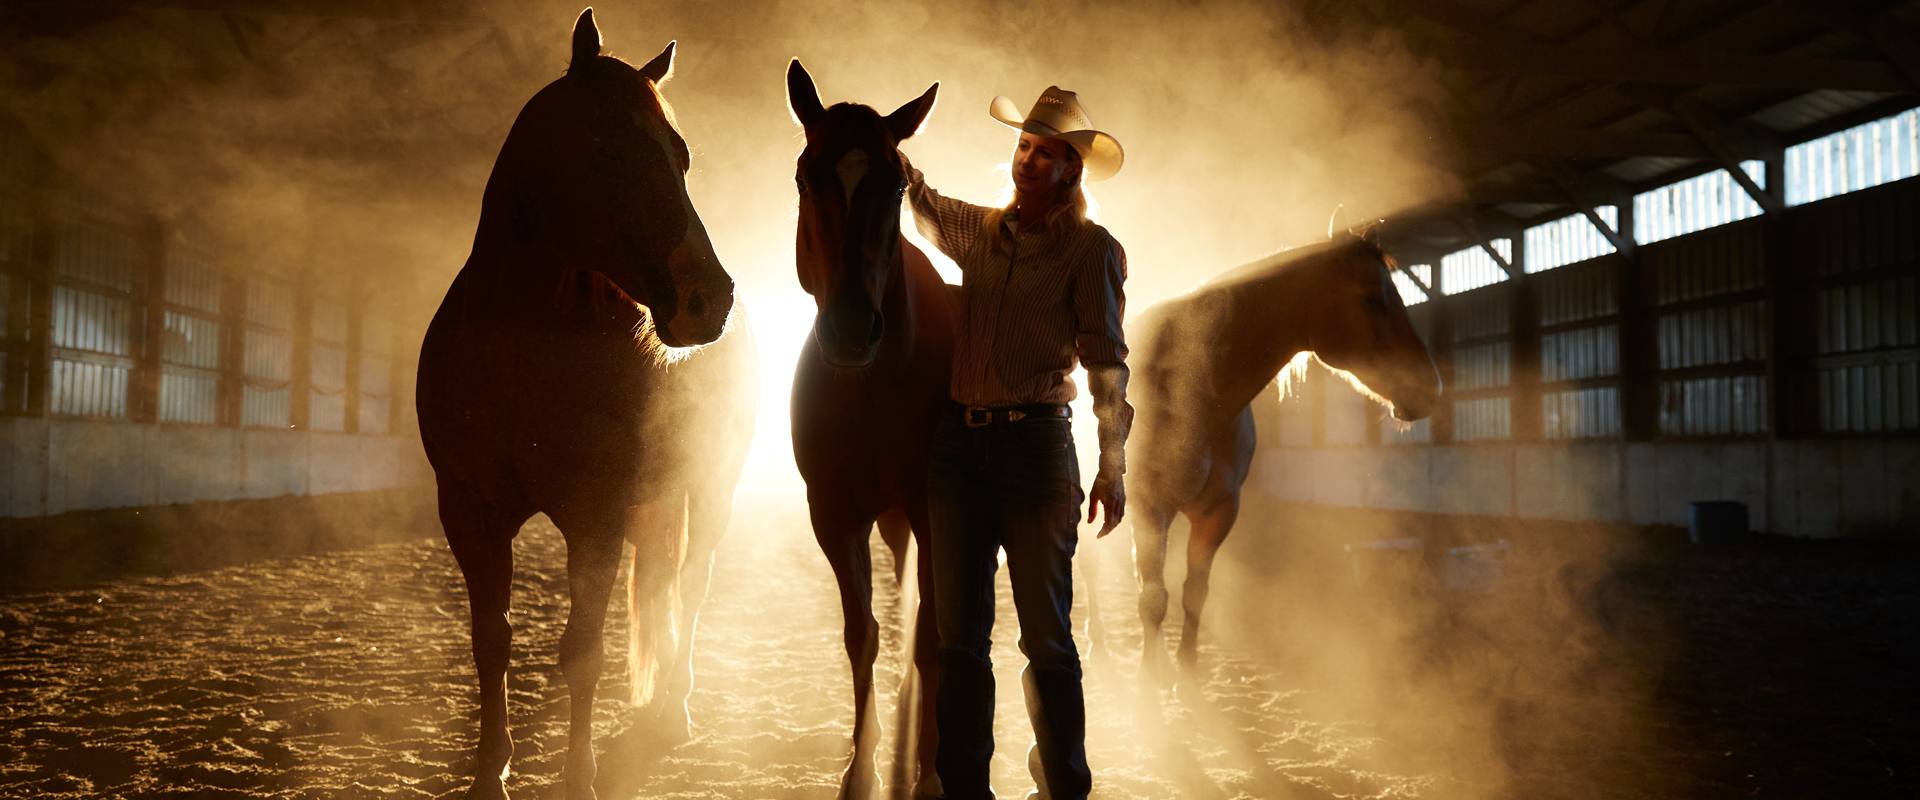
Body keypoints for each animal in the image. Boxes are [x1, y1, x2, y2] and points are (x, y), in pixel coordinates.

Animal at [420, 9, 748, 794]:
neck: (520, 346)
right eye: (606, 148)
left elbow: (583, 652)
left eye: (680, 157)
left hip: (709, 490)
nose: (708, 298)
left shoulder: (593, 518)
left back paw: (674, 708)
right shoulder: (468, 513)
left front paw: (577, 777)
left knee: (690, 587)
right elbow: (491, 642)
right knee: (659, 585)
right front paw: (490, 773)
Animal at [1105, 229, 1436, 686]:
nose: (1431, 388)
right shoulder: (1150, 506)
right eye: (1373, 299)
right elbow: (1153, 601)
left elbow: (1193, 594)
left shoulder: (1218, 512)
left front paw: (1186, 676)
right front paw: (1148, 690)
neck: (1196, 393)